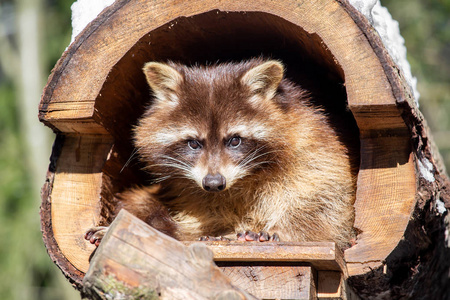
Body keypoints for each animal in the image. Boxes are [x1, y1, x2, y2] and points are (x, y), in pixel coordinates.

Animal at [86, 58, 356, 248]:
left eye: (234, 141)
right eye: (194, 144)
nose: (214, 183)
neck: (243, 180)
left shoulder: (313, 147)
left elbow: (322, 202)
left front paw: (283, 230)